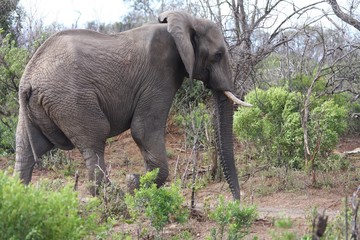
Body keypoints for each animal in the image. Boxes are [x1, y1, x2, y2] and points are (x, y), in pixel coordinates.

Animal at [14, 10, 250, 200]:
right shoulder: (160, 75)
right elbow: (143, 130)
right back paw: (113, 196)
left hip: (38, 106)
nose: (236, 202)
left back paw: (20, 197)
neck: (183, 22)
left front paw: (138, 184)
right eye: (218, 55)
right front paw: (135, 185)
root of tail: (29, 79)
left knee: (27, 148)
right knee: (94, 140)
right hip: (71, 99)